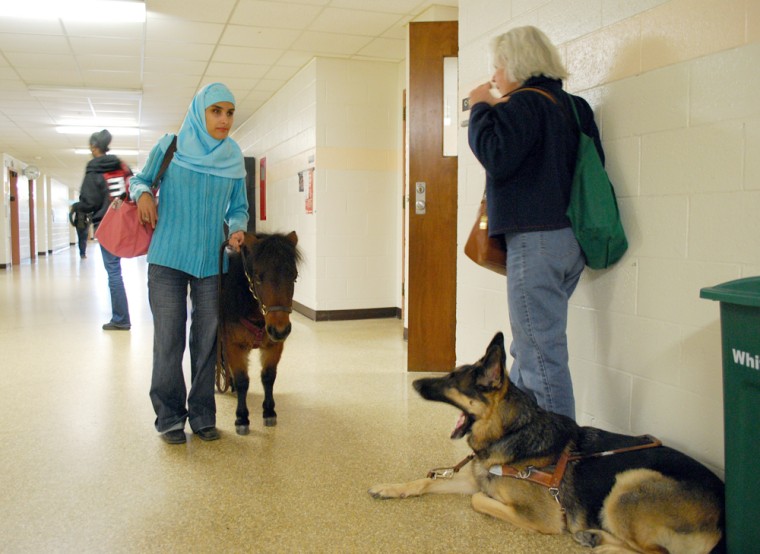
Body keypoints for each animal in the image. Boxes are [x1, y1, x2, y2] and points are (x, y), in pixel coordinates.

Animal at [217, 231, 300, 434]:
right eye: (258, 277)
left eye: (294, 276)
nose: (279, 330)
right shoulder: (233, 346)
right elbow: (242, 381)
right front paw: (242, 418)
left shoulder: (274, 345)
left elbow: (268, 377)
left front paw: (269, 411)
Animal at [372, 330, 728, 548]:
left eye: (451, 381)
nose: (415, 385)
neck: (513, 432)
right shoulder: (473, 479)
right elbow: (424, 481)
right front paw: (390, 487)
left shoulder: (537, 516)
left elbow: (480, 501)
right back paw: (594, 537)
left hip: (630, 482)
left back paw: (599, 542)